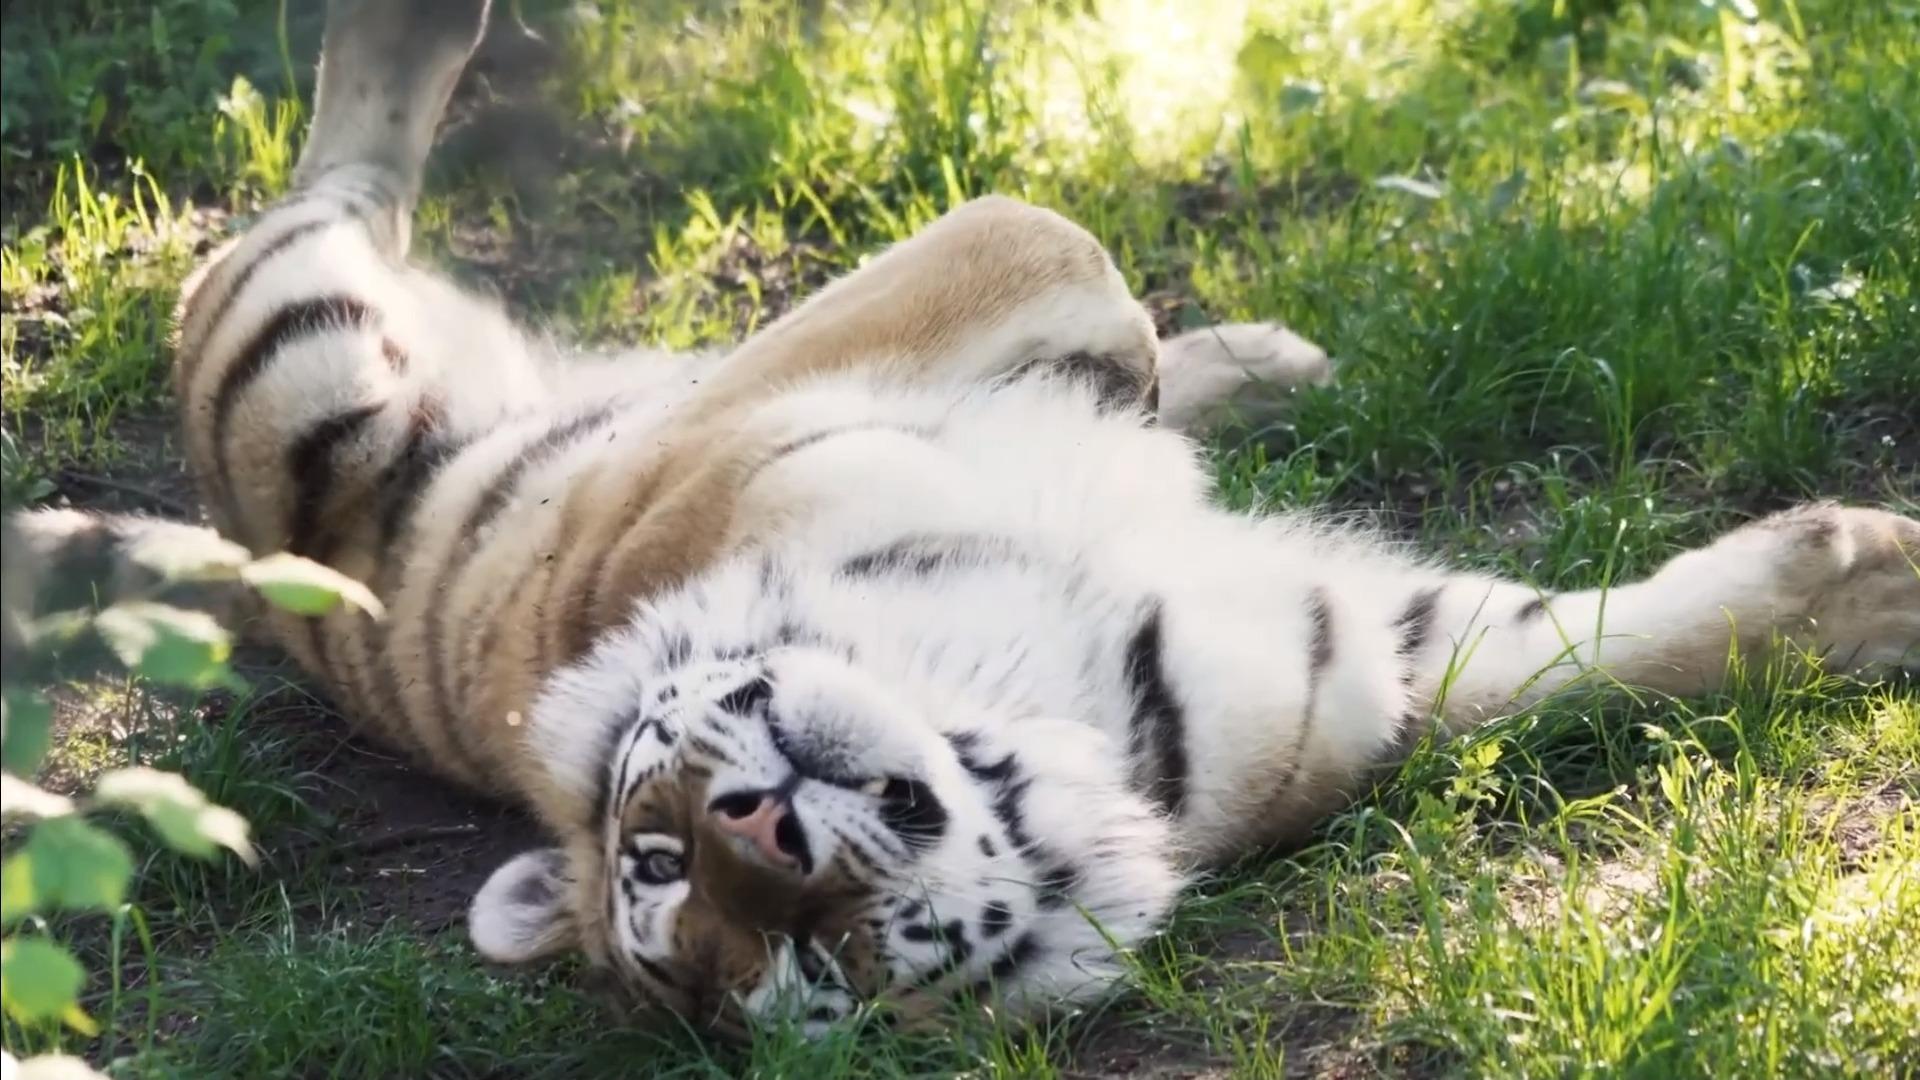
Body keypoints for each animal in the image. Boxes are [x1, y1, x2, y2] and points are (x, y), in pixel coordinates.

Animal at [18, 2, 1920, 1045]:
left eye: (653, 844)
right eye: (795, 964)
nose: (762, 826)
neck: (1035, 698)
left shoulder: (842, 359)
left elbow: (1074, 280)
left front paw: (1875, 585)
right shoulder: (1364, 670)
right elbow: (1564, 662)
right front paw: (1877, 577)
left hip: (331, 353)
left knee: (346, 166)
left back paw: (1265, 363)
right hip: (291, 365)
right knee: (324, 187)